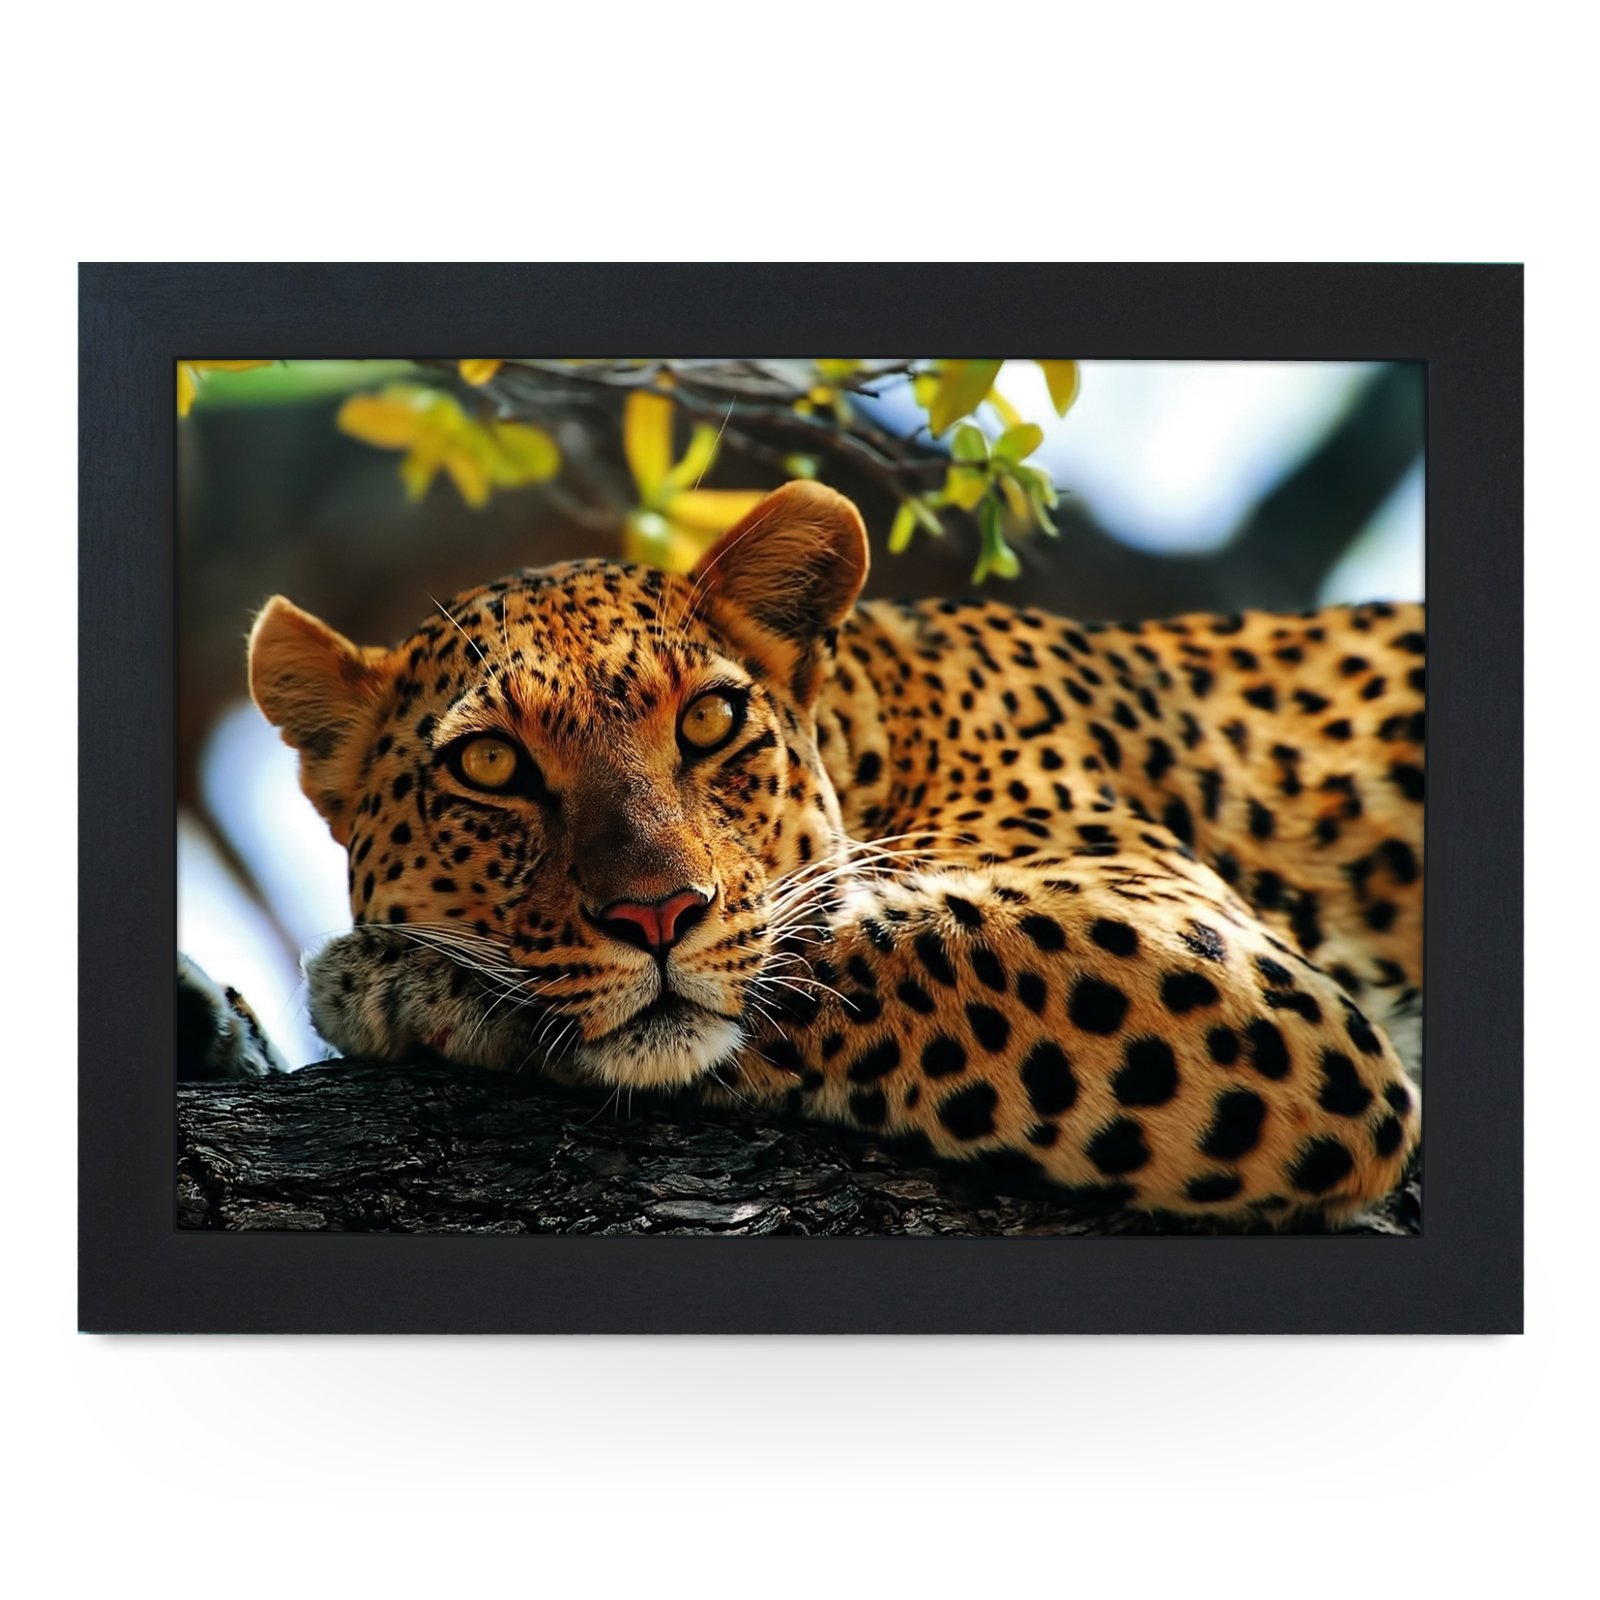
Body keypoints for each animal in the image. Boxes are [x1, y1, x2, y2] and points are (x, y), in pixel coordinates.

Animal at [214, 479, 1423, 1224]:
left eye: (708, 721)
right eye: (491, 765)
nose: (656, 915)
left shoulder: (1218, 963)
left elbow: (850, 950)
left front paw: (402, 980)